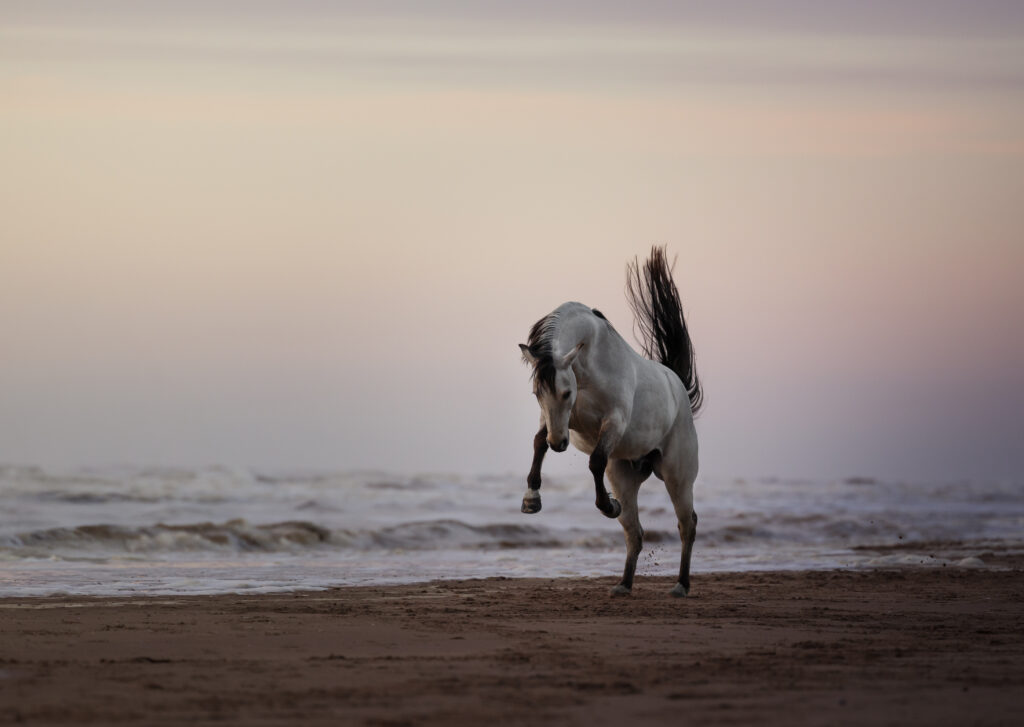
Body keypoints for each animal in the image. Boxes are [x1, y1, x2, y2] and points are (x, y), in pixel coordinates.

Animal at [518, 246, 703, 597]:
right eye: (536, 392)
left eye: (566, 392)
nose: (560, 444)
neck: (588, 364)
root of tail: (676, 385)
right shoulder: (551, 420)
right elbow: (536, 444)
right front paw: (531, 500)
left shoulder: (614, 422)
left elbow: (595, 461)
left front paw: (607, 506)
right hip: (624, 476)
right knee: (635, 533)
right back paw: (624, 585)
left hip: (678, 477)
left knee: (687, 524)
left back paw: (681, 585)